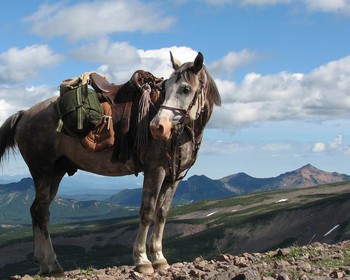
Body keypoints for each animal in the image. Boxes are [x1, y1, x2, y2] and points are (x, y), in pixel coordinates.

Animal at [0, 51, 220, 274]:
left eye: (186, 89)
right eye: (166, 88)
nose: (158, 127)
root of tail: (24, 114)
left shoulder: (173, 177)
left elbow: (162, 214)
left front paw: (159, 258)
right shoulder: (155, 170)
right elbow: (147, 212)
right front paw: (142, 259)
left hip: (56, 172)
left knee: (38, 210)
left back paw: (46, 264)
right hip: (42, 171)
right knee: (42, 212)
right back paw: (51, 264)